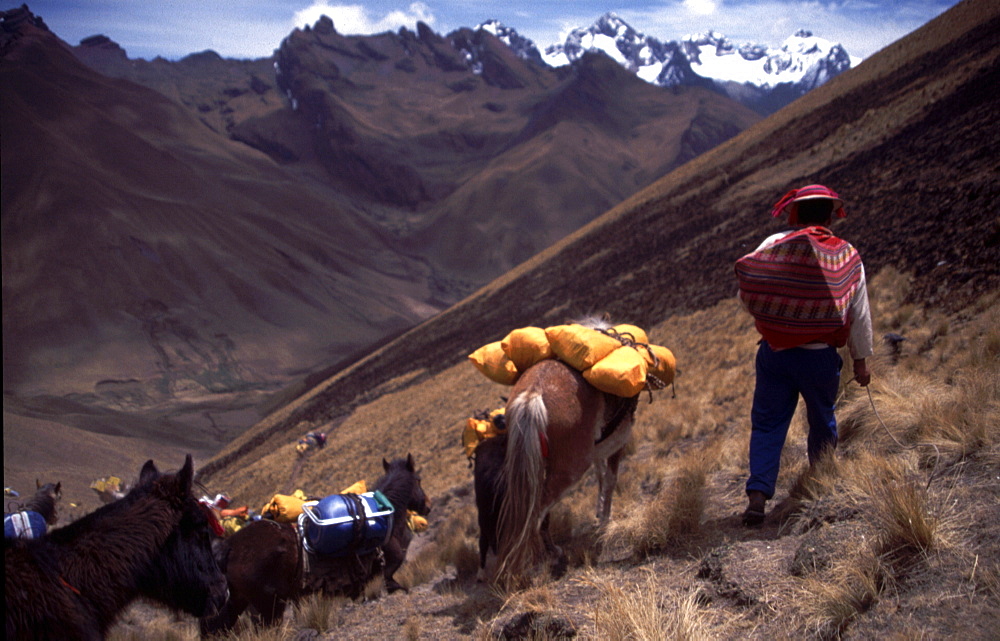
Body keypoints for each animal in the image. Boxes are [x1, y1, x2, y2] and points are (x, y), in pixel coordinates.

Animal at [201, 452, 432, 632]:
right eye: (419, 480)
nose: (427, 507)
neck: (385, 514)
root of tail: (229, 548)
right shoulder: (385, 572)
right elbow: (396, 586)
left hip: (239, 601)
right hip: (267, 606)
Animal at [496, 358, 636, 588]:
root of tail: (533, 396)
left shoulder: (599, 449)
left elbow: (600, 477)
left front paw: (599, 515)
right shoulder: (618, 441)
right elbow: (610, 481)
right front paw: (604, 522)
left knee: (535, 509)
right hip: (571, 469)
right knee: (536, 512)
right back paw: (543, 560)